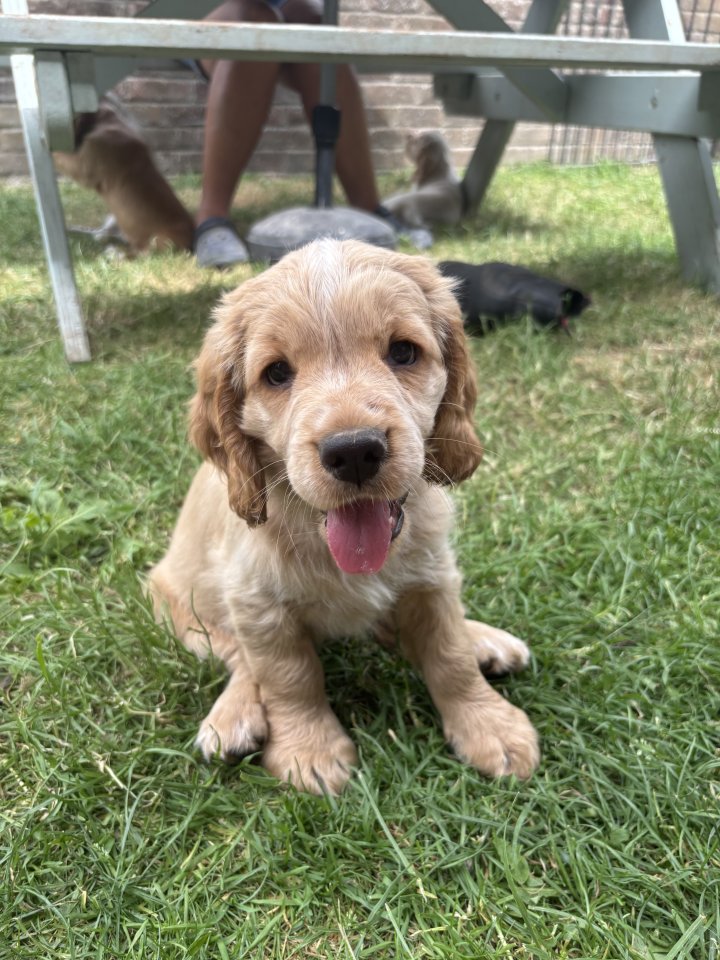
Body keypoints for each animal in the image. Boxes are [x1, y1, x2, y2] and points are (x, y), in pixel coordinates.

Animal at [54, 95, 194, 254]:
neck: (109, 121)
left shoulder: (82, 167)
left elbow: (60, 156)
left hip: (159, 240)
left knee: (142, 253)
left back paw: (116, 252)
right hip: (113, 220)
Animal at [148, 239, 539, 795]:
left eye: (403, 352)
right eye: (276, 373)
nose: (353, 452)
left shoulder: (432, 575)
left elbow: (450, 653)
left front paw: (490, 727)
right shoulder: (257, 601)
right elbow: (288, 676)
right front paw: (309, 751)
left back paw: (486, 640)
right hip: (184, 609)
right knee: (240, 658)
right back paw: (234, 717)